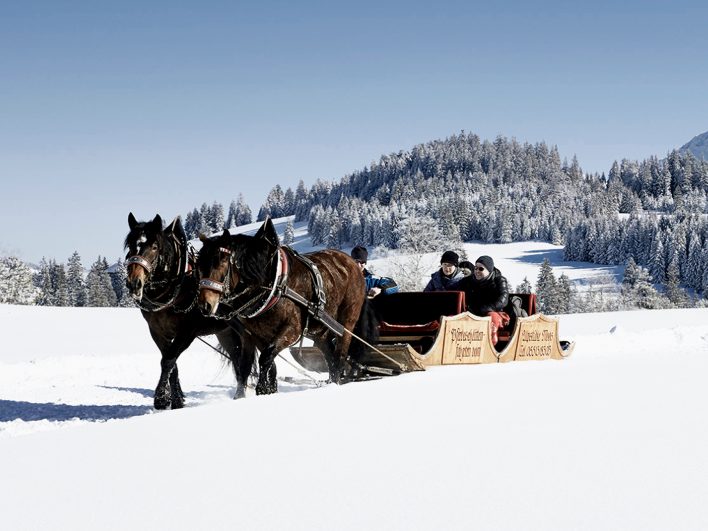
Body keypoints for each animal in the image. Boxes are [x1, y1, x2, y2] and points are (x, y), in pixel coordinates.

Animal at [124, 213, 256, 409]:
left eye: (154, 247)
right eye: (130, 246)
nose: (134, 283)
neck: (176, 286)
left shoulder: (187, 332)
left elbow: (168, 360)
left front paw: (161, 398)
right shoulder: (157, 331)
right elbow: (171, 363)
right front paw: (176, 399)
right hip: (226, 333)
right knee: (238, 359)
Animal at [196, 218, 378, 394]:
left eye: (221, 262)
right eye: (199, 265)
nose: (205, 305)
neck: (273, 282)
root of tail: (352, 264)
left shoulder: (292, 330)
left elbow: (266, 358)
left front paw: (262, 390)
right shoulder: (251, 335)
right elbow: (248, 365)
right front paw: (247, 394)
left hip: (346, 323)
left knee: (340, 356)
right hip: (319, 330)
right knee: (330, 357)